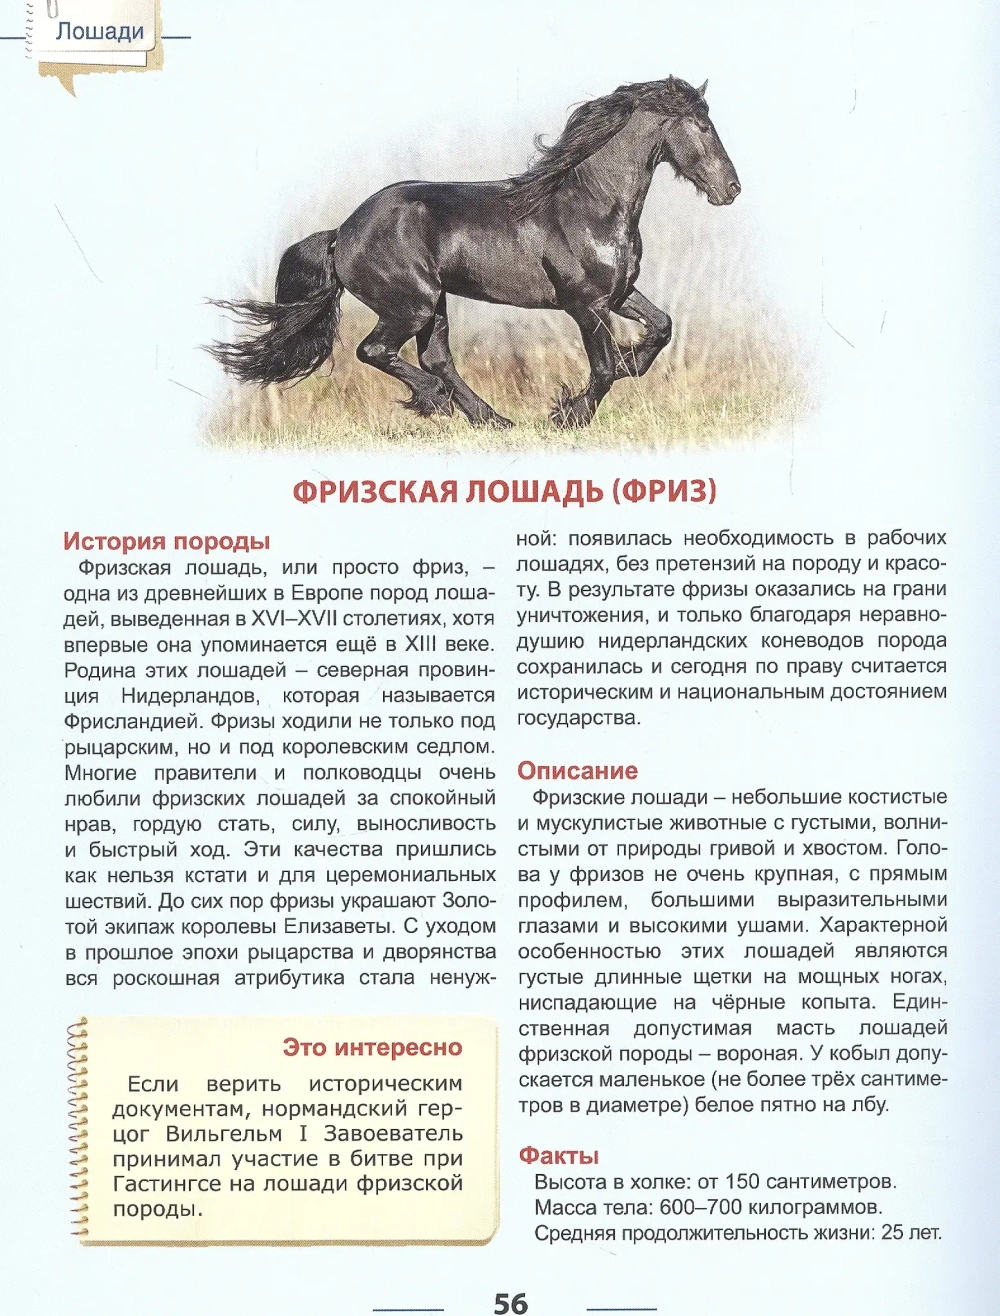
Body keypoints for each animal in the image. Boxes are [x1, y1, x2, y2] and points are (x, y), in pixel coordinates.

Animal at [207, 76, 740, 429]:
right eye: (702, 126)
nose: (732, 189)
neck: (590, 206)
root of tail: (343, 232)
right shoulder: (584, 305)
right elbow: (604, 367)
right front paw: (568, 415)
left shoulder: (619, 293)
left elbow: (662, 326)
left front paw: (631, 364)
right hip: (412, 304)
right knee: (378, 351)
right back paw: (441, 403)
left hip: (434, 303)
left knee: (435, 358)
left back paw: (492, 419)